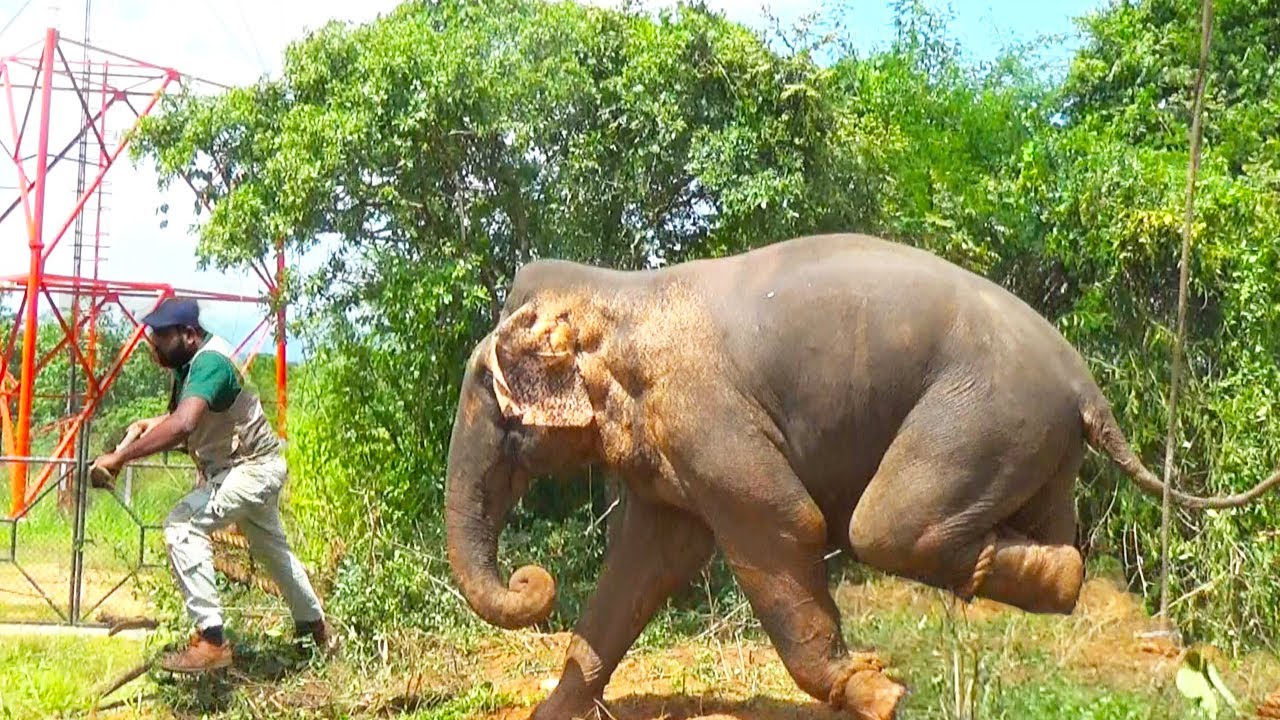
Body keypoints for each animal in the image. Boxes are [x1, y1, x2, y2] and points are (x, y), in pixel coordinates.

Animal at [444, 233, 1280, 720]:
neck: (624, 293)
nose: (531, 578)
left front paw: (879, 695)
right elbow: (648, 564)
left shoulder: (705, 415)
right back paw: (1064, 578)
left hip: (985, 412)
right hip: (1035, 441)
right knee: (1033, 525)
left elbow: (784, 523)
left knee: (884, 527)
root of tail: (1088, 389)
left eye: (494, 409)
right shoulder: (673, 446)